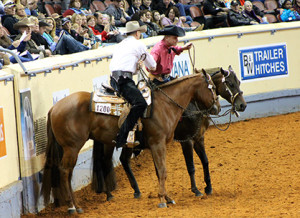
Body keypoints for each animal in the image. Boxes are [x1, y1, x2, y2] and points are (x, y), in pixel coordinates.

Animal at [41, 70, 220, 214]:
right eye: (211, 87)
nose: (217, 107)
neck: (165, 104)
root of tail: (54, 108)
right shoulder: (160, 143)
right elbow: (163, 170)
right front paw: (162, 199)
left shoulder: (156, 145)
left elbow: (159, 171)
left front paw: (167, 197)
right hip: (72, 147)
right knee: (65, 171)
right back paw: (72, 206)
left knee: (72, 172)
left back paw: (79, 205)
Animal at [106, 65, 247, 199]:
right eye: (230, 84)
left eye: (239, 82)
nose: (243, 105)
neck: (192, 105)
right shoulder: (187, 140)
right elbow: (190, 166)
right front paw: (196, 190)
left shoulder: (199, 137)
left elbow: (205, 161)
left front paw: (208, 187)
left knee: (123, 160)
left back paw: (136, 191)